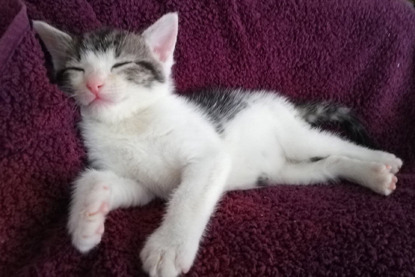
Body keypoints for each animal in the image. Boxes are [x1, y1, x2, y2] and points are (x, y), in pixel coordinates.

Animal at [33, 12, 404, 276]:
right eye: (77, 69)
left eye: (121, 64)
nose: (94, 85)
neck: (129, 123)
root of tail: (278, 102)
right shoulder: (143, 185)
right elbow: (98, 179)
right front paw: (87, 218)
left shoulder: (209, 156)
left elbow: (188, 196)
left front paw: (169, 247)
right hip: (285, 173)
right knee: (327, 165)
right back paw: (374, 175)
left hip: (294, 135)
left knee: (332, 143)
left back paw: (386, 158)